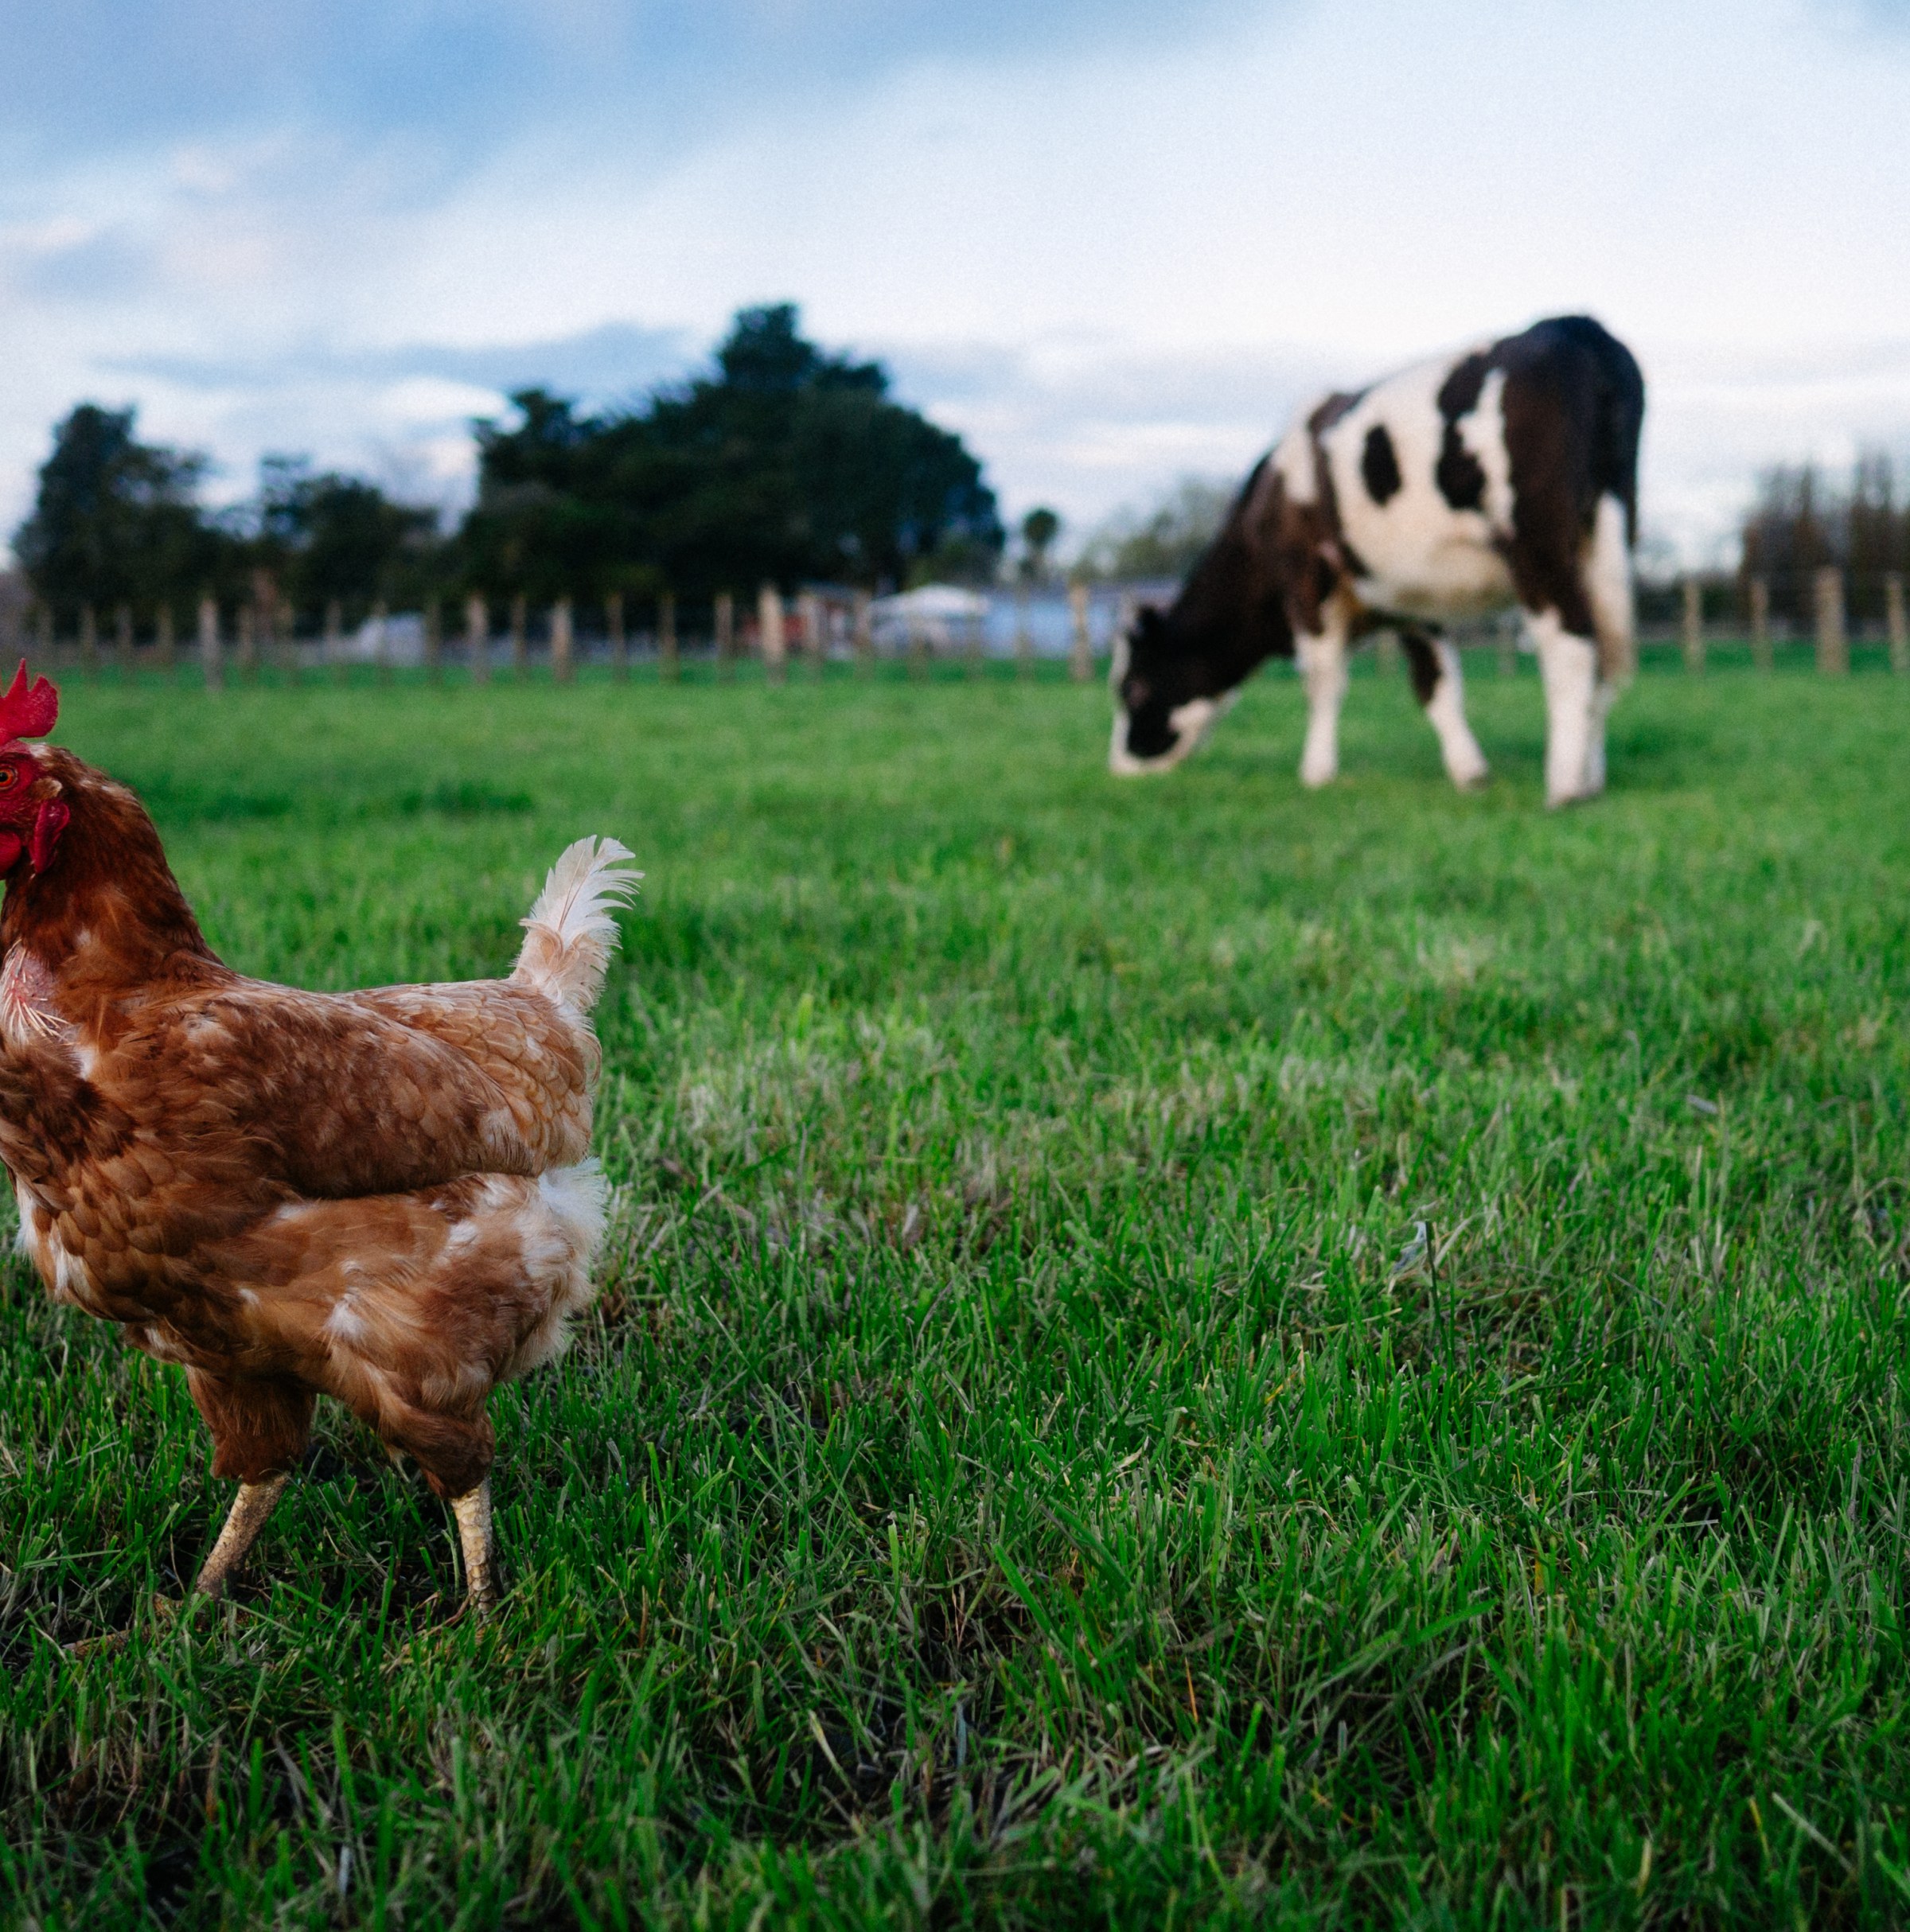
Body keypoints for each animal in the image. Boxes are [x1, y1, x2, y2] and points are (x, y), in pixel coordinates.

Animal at [1113, 317, 1647, 807]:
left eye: (1133, 689)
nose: (1117, 766)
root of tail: (1576, 326)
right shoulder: (1413, 597)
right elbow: (1436, 685)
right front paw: (1470, 773)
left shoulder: (1306, 578)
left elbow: (1322, 680)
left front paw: (1316, 773)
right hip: (1605, 536)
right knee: (1605, 653)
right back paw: (1591, 779)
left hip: (1538, 544)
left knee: (1573, 645)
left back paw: (1564, 786)